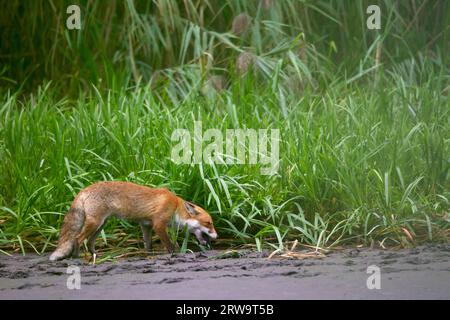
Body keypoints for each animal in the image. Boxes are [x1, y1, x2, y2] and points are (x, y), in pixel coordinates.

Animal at [49, 181, 218, 262]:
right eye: (208, 223)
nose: (216, 237)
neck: (175, 206)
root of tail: (84, 190)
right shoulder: (158, 224)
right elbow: (170, 246)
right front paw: (174, 254)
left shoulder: (146, 225)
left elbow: (148, 245)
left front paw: (148, 256)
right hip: (95, 223)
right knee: (77, 239)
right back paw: (77, 258)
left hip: (101, 225)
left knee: (89, 242)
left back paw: (97, 257)